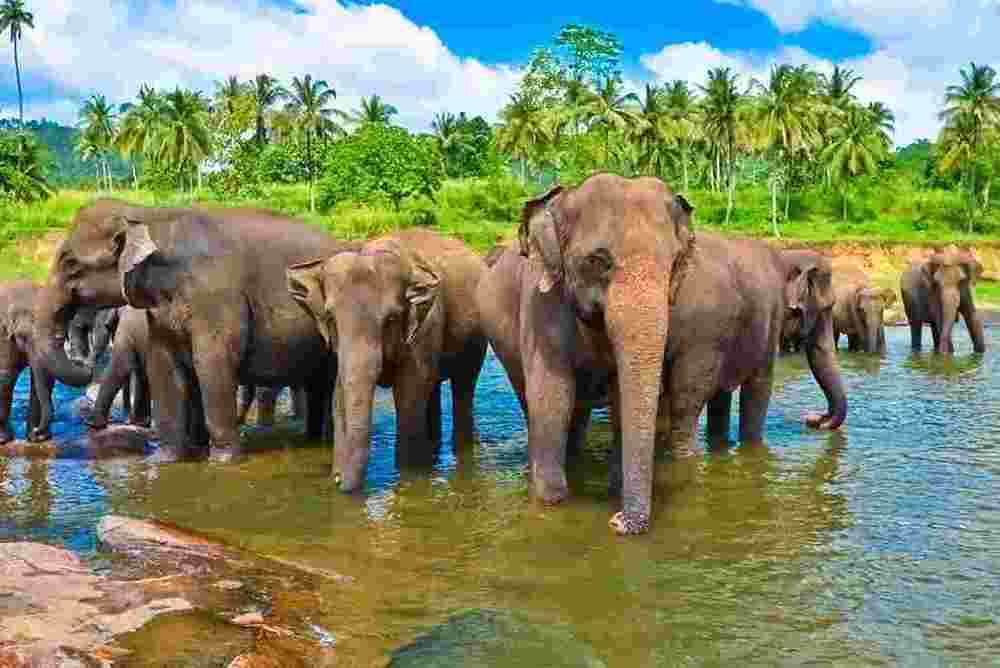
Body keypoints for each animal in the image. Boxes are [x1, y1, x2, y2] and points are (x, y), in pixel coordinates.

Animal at [33, 200, 358, 464]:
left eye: (70, 263)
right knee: (317, 385)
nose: (85, 364)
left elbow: (211, 363)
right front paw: (165, 460)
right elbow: (164, 366)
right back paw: (314, 441)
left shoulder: (216, 297)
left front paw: (223, 461)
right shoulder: (159, 312)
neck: (149, 215)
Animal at [286, 228, 488, 490]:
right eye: (330, 318)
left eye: (391, 319)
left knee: (463, 385)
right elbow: (340, 391)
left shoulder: (426, 324)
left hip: (476, 338)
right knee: (432, 388)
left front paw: (408, 477)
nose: (338, 480)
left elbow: (409, 392)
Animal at [480, 174, 848, 536]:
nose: (813, 419)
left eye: (672, 264)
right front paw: (551, 505)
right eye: (598, 261)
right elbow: (551, 397)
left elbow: (623, 396)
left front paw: (616, 495)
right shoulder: (541, 306)